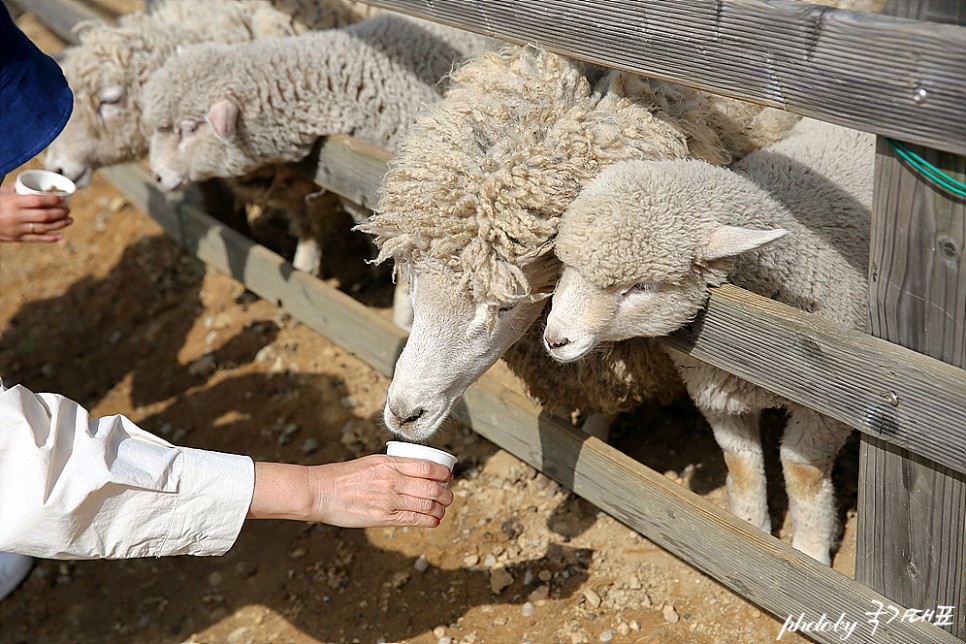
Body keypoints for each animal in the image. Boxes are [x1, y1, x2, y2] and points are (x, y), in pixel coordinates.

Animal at [544, 118, 876, 560]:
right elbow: (742, 465)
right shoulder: (719, 396)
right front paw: (749, 529)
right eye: (565, 265)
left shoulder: (830, 409)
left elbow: (801, 472)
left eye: (641, 286)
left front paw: (810, 549)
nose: (554, 339)